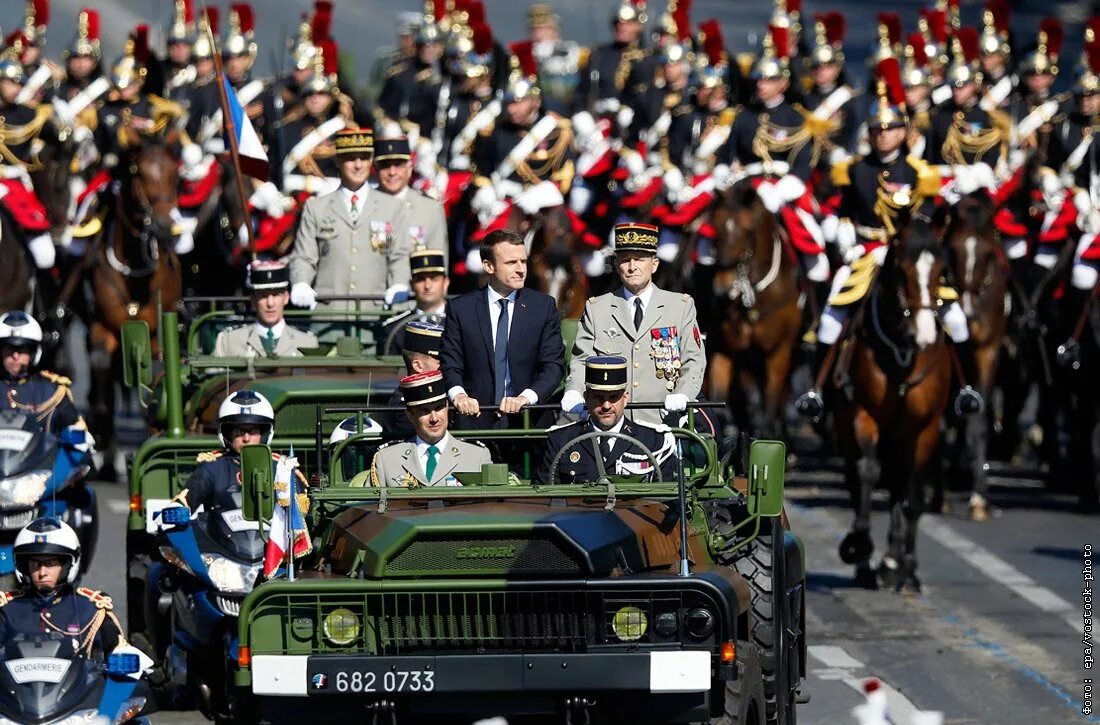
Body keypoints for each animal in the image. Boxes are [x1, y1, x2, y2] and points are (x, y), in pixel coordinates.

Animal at [89, 129, 183, 481]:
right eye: (138, 173)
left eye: (175, 175)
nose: (165, 225)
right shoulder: (101, 329)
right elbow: (103, 384)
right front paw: (106, 455)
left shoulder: (154, 336)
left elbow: (153, 383)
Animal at [704, 181, 800, 442]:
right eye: (715, 227)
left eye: (747, 230)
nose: (722, 288)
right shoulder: (727, 350)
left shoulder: (778, 354)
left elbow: (768, 408)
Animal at [831, 222, 954, 594]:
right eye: (900, 269)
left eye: (941, 269)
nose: (924, 335)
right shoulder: (862, 416)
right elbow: (868, 471)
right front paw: (858, 544)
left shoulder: (925, 428)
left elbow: (912, 492)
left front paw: (903, 565)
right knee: (860, 478)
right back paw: (873, 564)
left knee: (903, 487)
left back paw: (899, 565)